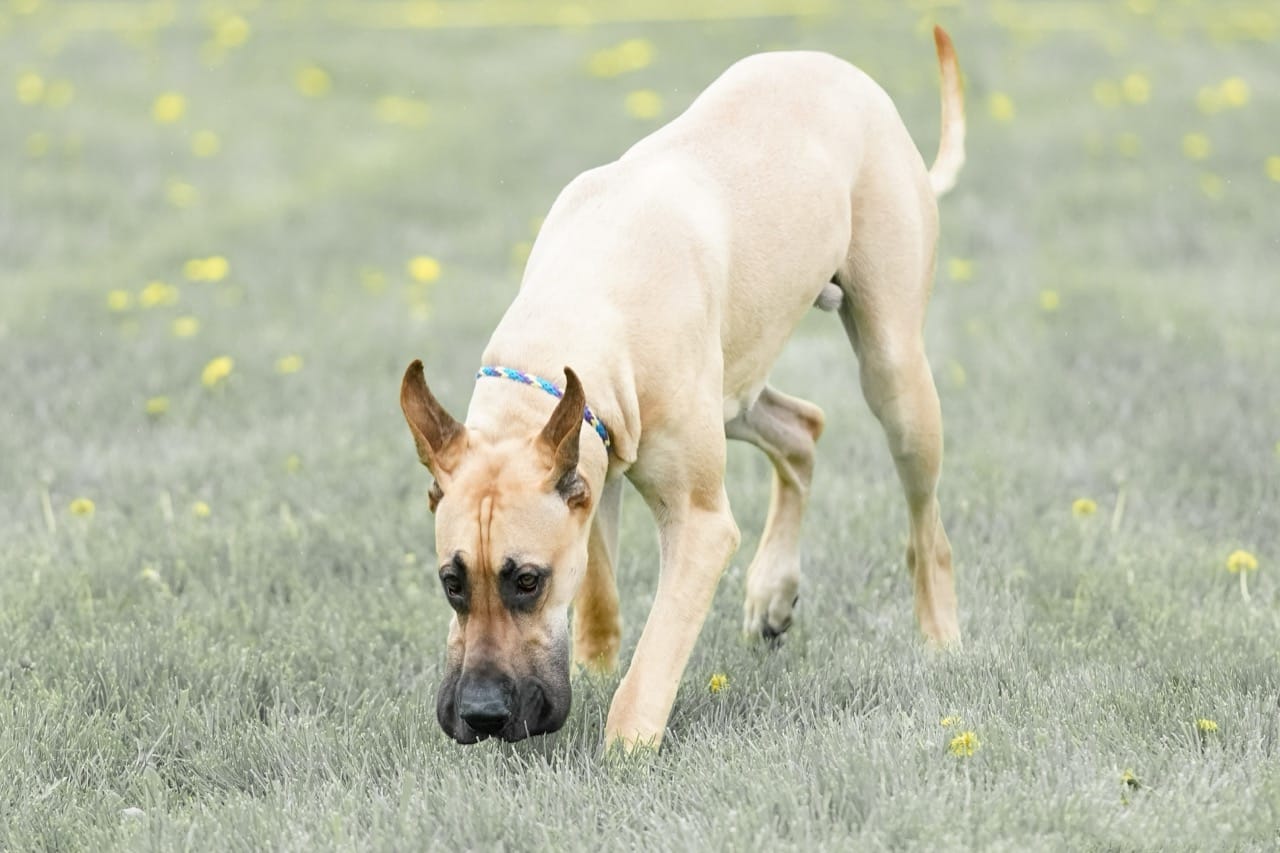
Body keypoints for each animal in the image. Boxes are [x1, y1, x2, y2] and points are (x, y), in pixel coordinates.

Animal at [399, 24, 962, 742]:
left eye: (527, 580)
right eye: (452, 581)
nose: (481, 713)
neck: (575, 308)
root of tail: (854, 77)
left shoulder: (698, 523)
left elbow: (657, 652)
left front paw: (624, 741)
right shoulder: (595, 449)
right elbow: (599, 588)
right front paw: (595, 664)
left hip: (892, 373)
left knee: (925, 524)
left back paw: (941, 633)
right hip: (733, 391)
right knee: (802, 428)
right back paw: (773, 587)